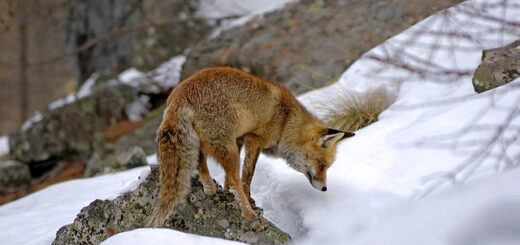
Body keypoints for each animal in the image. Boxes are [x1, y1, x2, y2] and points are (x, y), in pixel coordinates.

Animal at [146, 67, 354, 228]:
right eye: (321, 164)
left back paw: (211, 189)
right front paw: (250, 203)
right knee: (234, 178)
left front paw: (227, 192)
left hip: (209, 144)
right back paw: (248, 214)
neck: (285, 122)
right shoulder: (254, 140)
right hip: (227, 148)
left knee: (203, 166)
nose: (325, 188)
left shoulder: (239, 140)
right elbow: (247, 177)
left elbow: (230, 180)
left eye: (327, 166)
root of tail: (179, 95)